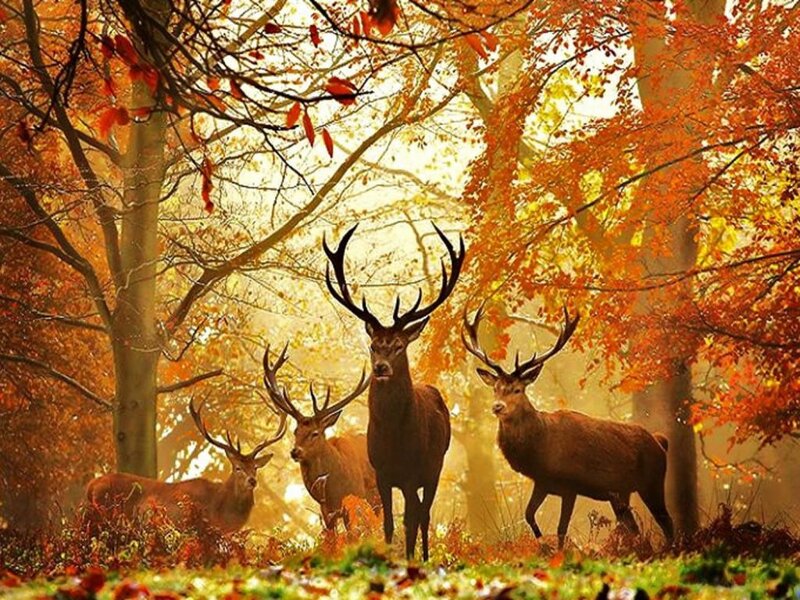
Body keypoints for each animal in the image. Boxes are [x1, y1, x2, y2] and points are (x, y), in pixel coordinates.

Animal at [323, 223, 464, 560]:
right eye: (373, 346)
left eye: (399, 346)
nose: (381, 368)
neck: (394, 439)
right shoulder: (383, 474)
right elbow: (388, 523)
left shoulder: (413, 472)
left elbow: (410, 520)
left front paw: (411, 559)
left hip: (435, 466)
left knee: (423, 515)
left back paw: (424, 557)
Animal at [462, 303, 674, 549]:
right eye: (495, 388)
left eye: (517, 389)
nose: (497, 406)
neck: (541, 449)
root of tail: (660, 441)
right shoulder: (543, 482)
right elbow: (529, 515)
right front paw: (542, 544)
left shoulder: (570, 485)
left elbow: (561, 530)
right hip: (620, 493)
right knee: (634, 528)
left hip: (652, 481)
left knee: (667, 522)